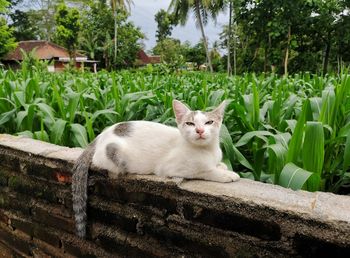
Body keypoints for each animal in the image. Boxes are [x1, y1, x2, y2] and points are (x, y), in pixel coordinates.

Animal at [72, 99, 241, 238]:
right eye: (190, 124)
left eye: (209, 122)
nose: (199, 130)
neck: (207, 150)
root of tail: (101, 135)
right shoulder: (171, 167)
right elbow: (205, 170)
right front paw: (226, 174)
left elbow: (218, 164)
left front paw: (222, 165)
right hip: (114, 153)